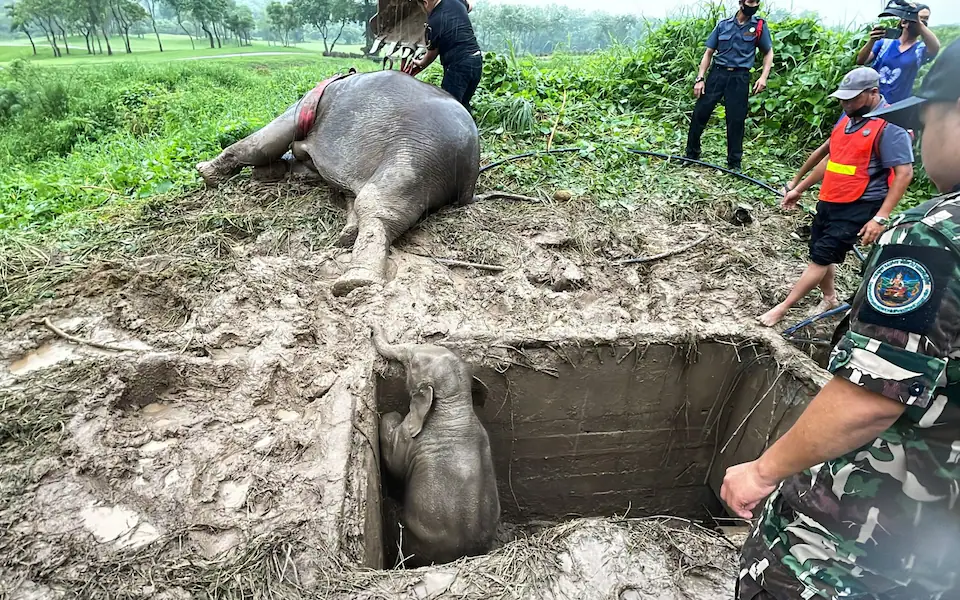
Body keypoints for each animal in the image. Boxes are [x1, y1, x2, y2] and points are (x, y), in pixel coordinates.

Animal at [195, 70, 480, 298]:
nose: (201, 169)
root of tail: (470, 172)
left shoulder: (302, 109)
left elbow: (264, 143)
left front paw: (206, 173)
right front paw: (270, 173)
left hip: (415, 157)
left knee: (378, 206)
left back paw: (354, 281)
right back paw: (347, 236)